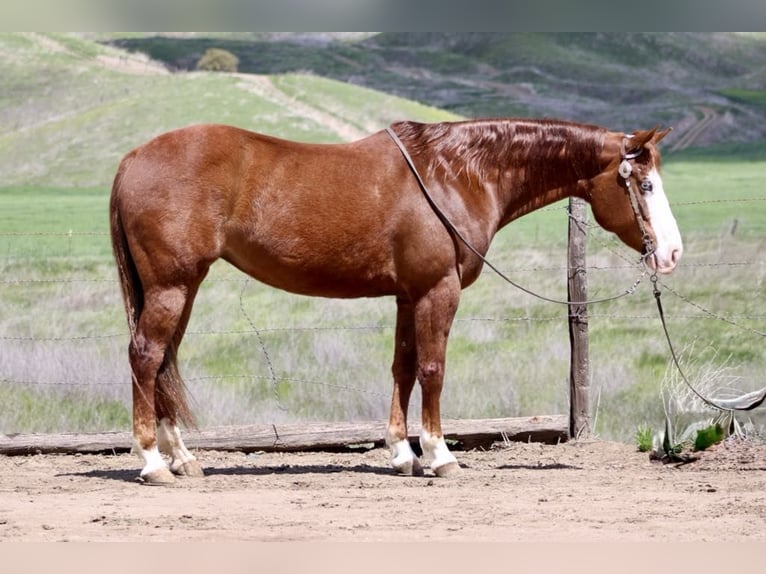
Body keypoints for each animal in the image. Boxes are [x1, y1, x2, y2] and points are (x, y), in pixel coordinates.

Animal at [110, 118, 682, 484]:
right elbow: (432, 369)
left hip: (182, 289)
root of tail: (133, 158)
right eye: (645, 185)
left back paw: (184, 459)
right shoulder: (436, 291)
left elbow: (403, 368)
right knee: (146, 357)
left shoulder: (409, 296)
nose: (672, 253)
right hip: (171, 287)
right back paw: (153, 464)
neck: (455, 174)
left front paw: (402, 455)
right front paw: (439, 455)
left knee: (164, 362)